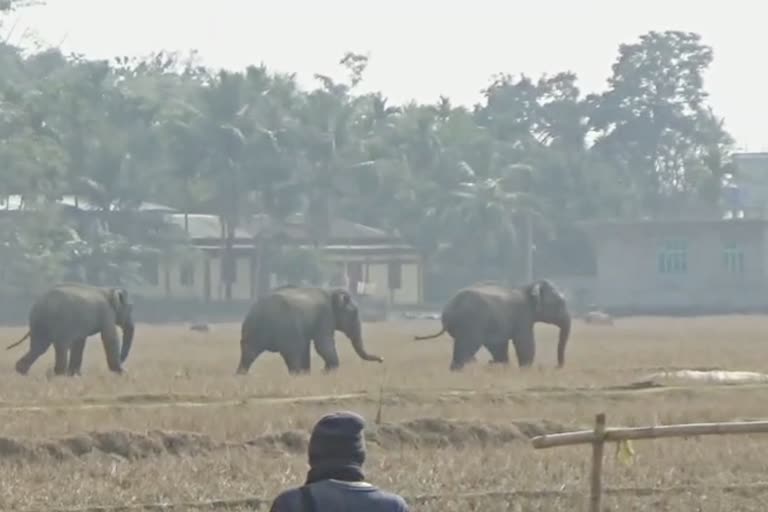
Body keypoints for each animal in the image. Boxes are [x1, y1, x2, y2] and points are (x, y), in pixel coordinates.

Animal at [5, 280, 135, 376]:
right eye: (130, 308)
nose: (122, 360)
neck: (109, 290)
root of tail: (41, 302)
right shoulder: (106, 313)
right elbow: (110, 338)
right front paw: (122, 373)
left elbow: (80, 342)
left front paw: (76, 375)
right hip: (59, 322)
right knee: (60, 345)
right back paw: (59, 374)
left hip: (39, 323)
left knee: (39, 347)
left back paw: (22, 373)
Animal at [237, 286, 384, 374]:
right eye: (354, 312)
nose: (382, 360)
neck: (331, 292)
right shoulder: (325, 316)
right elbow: (323, 345)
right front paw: (327, 372)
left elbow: (308, 347)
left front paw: (315, 373)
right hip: (284, 329)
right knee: (292, 352)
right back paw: (296, 375)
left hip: (253, 330)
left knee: (248, 354)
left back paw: (240, 376)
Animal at [414, 280, 568, 372]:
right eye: (560, 303)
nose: (556, 367)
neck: (528, 287)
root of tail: (449, 308)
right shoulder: (523, 317)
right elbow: (525, 343)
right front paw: (525, 369)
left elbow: (498, 345)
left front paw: (501, 365)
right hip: (470, 323)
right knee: (467, 347)